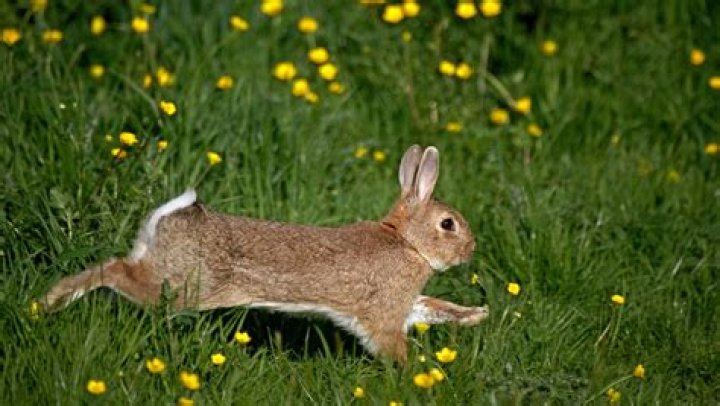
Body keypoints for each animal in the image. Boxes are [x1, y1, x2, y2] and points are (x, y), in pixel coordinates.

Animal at [41, 145, 489, 363]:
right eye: (448, 224)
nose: (471, 250)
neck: (407, 242)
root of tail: (168, 219)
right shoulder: (383, 315)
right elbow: (392, 343)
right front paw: (411, 376)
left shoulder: (406, 305)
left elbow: (434, 307)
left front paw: (477, 315)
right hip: (179, 289)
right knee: (113, 271)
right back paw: (49, 303)